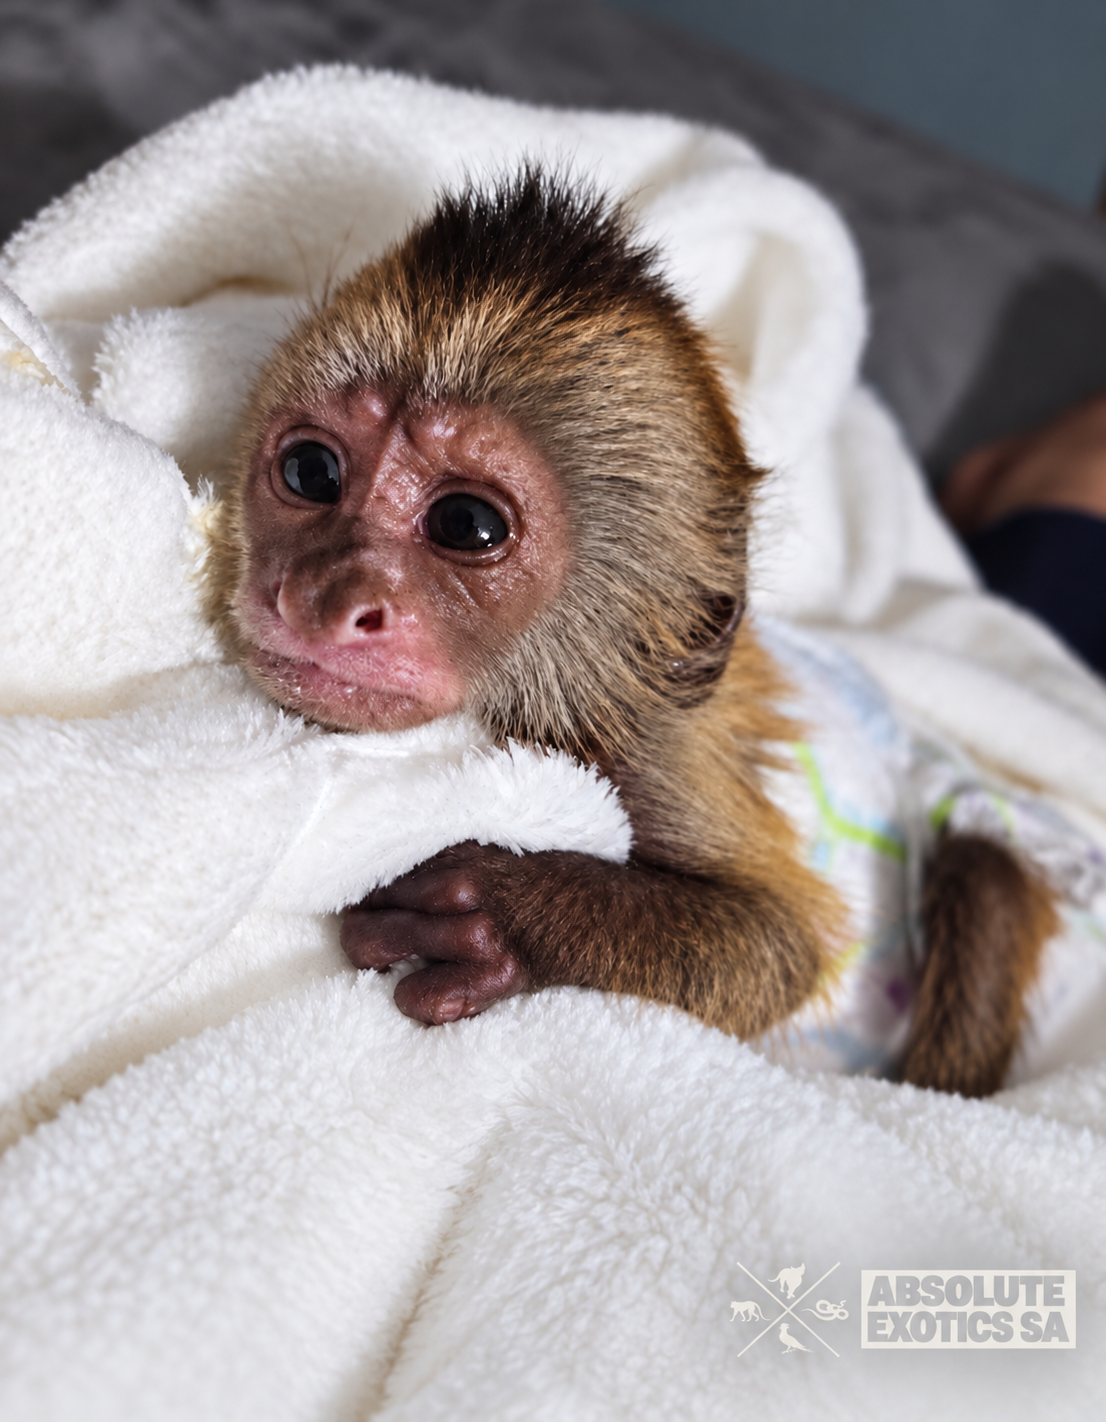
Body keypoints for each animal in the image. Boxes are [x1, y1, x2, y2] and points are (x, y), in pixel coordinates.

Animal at [205, 167, 1058, 1097]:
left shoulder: (648, 750)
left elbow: (778, 948)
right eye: (311, 472)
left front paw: (513, 915)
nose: (320, 598)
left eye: (466, 525)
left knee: (979, 871)